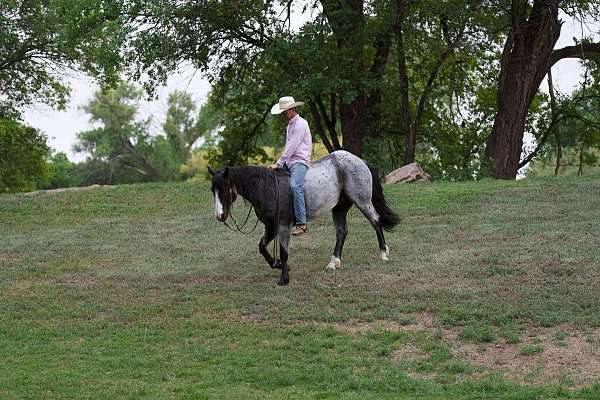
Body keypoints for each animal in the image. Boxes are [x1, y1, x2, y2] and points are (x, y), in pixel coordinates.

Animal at [209, 148, 400, 286]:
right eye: (213, 190)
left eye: (224, 189)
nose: (220, 216)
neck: (266, 187)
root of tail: (360, 161)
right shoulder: (270, 226)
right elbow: (262, 247)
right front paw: (278, 265)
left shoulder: (283, 226)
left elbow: (284, 252)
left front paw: (284, 278)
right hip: (339, 208)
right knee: (342, 232)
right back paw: (334, 262)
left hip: (362, 201)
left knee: (376, 221)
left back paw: (384, 254)